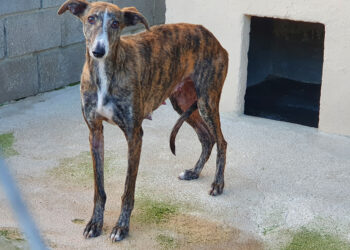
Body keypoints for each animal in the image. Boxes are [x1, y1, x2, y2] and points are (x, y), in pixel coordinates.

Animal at [58, 0, 228, 242]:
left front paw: (121, 227)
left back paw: (218, 183)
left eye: (116, 23)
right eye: (91, 19)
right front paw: (95, 223)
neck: (105, 73)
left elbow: (128, 190)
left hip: (207, 101)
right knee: (207, 137)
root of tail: (210, 35)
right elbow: (99, 189)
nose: (98, 51)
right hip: (182, 101)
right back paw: (193, 172)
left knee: (221, 141)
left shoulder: (134, 135)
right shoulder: (95, 132)